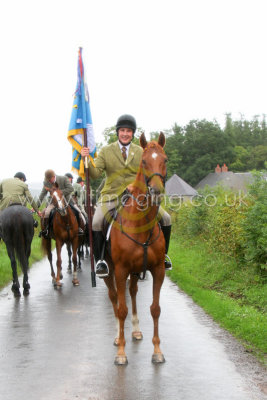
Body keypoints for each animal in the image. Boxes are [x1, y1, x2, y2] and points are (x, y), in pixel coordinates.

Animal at [103, 133, 168, 364]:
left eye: (165, 159)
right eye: (144, 161)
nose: (156, 191)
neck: (140, 225)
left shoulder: (158, 270)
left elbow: (155, 309)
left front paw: (157, 350)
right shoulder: (121, 270)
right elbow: (121, 310)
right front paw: (121, 353)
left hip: (134, 271)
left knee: (132, 293)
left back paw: (136, 331)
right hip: (110, 272)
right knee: (114, 298)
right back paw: (117, 336)